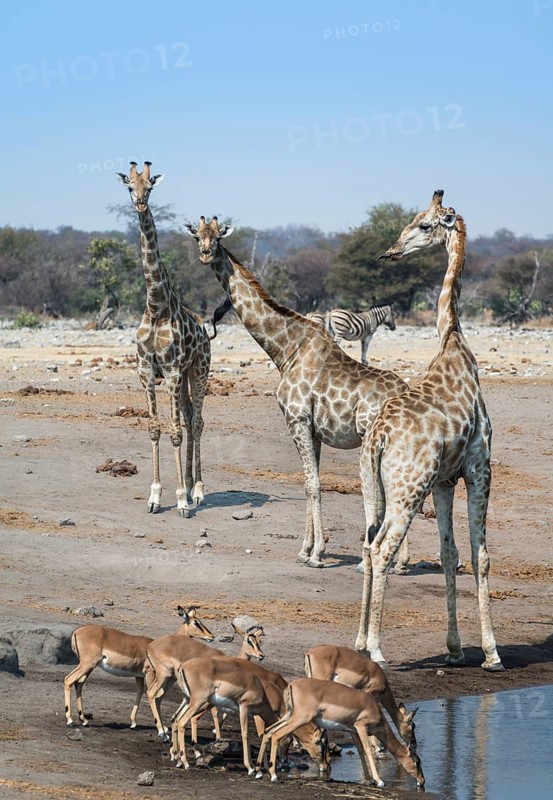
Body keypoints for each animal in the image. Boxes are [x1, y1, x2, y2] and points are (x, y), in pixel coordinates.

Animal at [116, 162, 211, 517]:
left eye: (151, 186)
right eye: (130, 187)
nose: (140, 204)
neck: (156, 307)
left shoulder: (170, 371)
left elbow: (175, 432)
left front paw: (181, 499)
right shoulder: (145, 371)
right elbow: (156, 428)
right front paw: (155, 496)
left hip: (198, 370)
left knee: (196, 421)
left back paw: (197, 491)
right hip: (183, 377)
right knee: (188, 416)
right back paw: (189, 484)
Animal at [183, 217, 408, 567]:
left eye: (218, 237)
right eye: (197, 236)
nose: (205, 254)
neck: (285, 350)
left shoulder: (297, 420)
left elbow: (313, 484)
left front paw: (316, 554)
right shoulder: (313, 430)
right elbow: (308, 483)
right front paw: (306, 548)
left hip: (373, 442)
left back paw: (377, 559)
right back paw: (399, 561)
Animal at [355, 190, 504, 672]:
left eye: (423, 224)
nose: (388, 252)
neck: (453, 340)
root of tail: (378, 438)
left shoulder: (444, 480)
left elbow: (448, 553)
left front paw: (455, 648)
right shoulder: (479, 466)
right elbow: (479, 555)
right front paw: (491, 652)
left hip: (374, 488)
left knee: (368, 545)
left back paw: (360, 641)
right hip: (408, 488)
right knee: (383, 549)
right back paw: (377, 649)